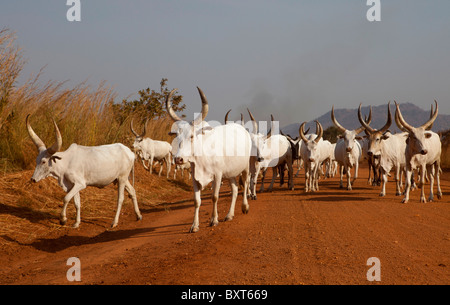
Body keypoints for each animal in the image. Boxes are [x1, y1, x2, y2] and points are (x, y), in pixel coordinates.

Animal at [166, 86, 253, 232]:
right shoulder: (195, 177)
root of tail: (242, 129)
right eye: (177, 136)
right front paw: (194, 225)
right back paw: (229, 215)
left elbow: (214, 197)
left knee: (245, 184)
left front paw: (214, 220)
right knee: (235, 190)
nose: (178, 159)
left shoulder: (217, 176)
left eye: (191, 136)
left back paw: (245, 207)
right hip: (230, 173)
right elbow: (197, 201)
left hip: (245, 167)